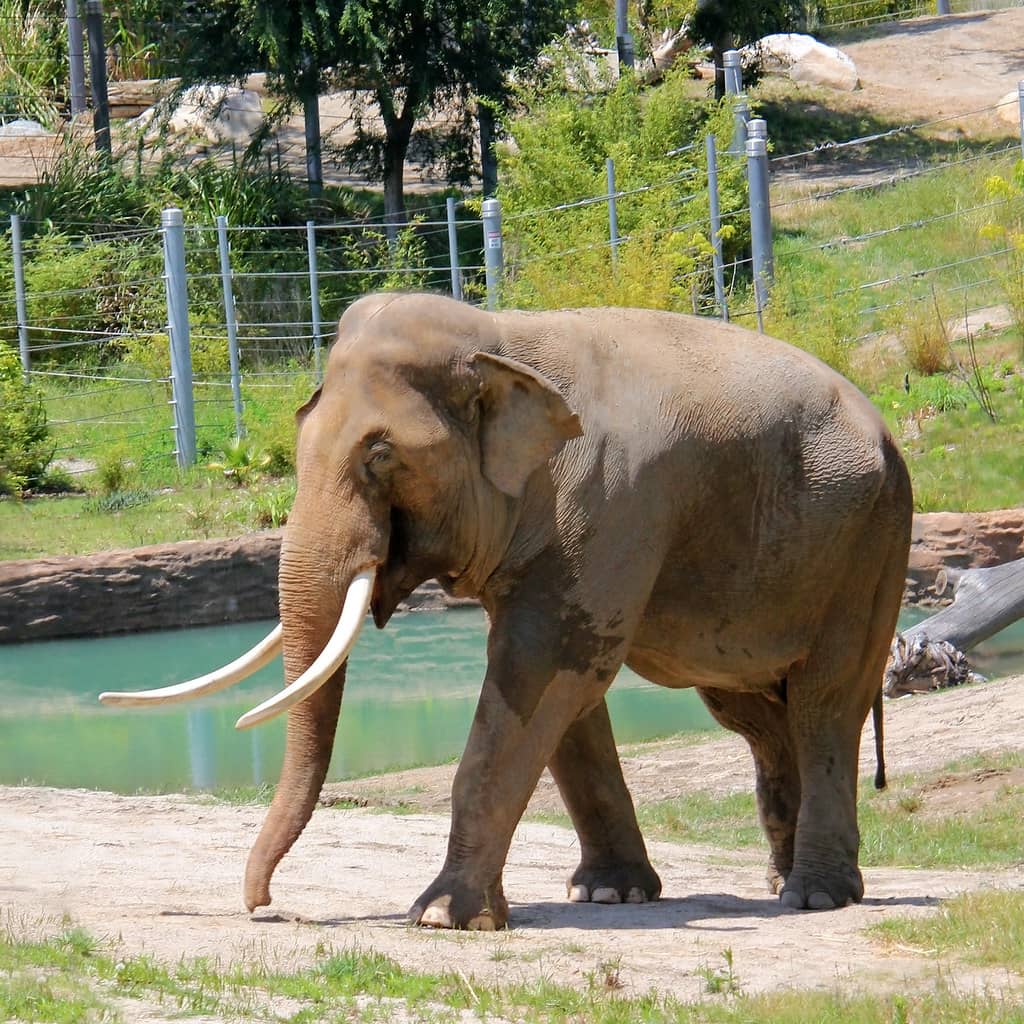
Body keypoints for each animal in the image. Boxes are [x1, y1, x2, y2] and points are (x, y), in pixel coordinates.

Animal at [101, 291, 913, 929]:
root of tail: (886, 427)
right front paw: (608, 896)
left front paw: (438, 917)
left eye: (380, 457)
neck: (500, 338)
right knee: (755, 711)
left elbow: (546, 667)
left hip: (871, 543)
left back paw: (816, 897)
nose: (263, 906)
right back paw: (780, 881)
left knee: (826, 699)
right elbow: (563, 692)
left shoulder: (613, 503)